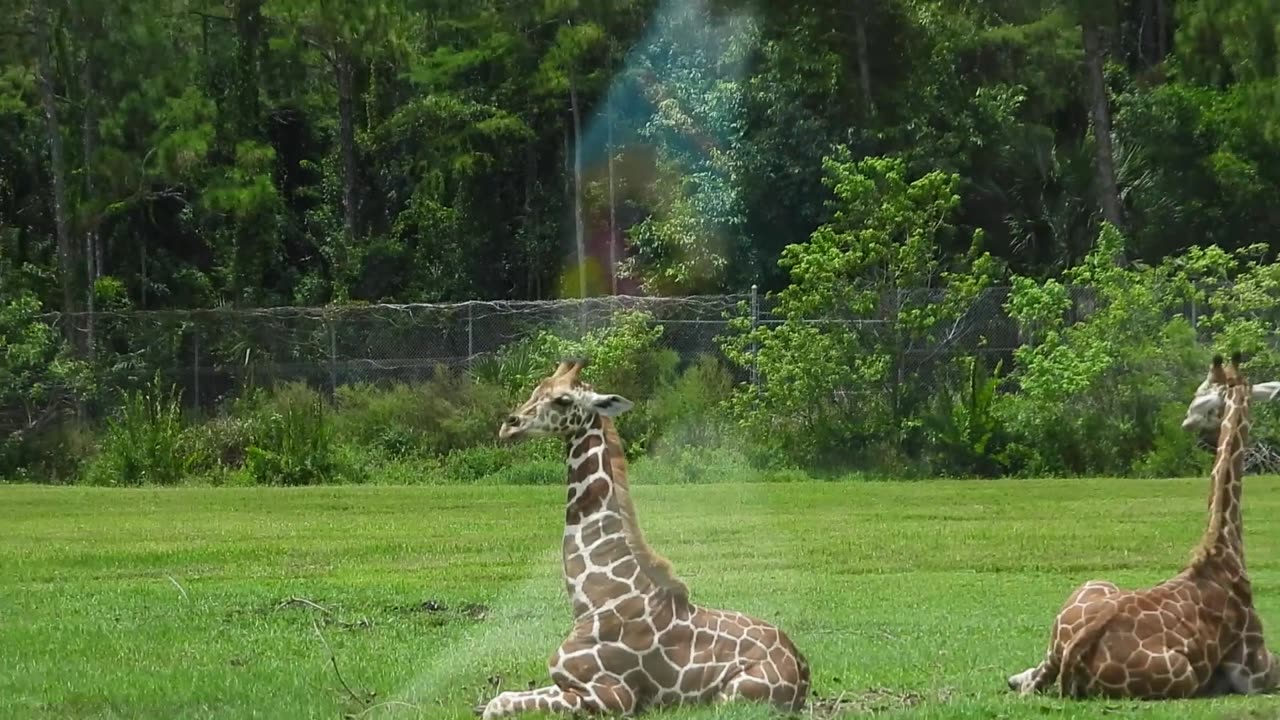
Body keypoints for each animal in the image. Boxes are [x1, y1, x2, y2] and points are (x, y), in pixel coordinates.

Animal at [481, 356, 808, 712]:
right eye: (535, 388)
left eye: (563, 400)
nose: (509, 425)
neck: (591, 598)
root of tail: (803, 671)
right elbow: (497, 699)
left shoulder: (611, 694)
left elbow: (498, 704)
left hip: (729, 698)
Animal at [1008, 353, 1280, 696]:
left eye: (1201, 392)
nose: (1188, 423)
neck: (1224, 548)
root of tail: (1070, 650)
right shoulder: (1254, 672)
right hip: (1184, 674)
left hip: (1083, 598)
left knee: (1027, 679)